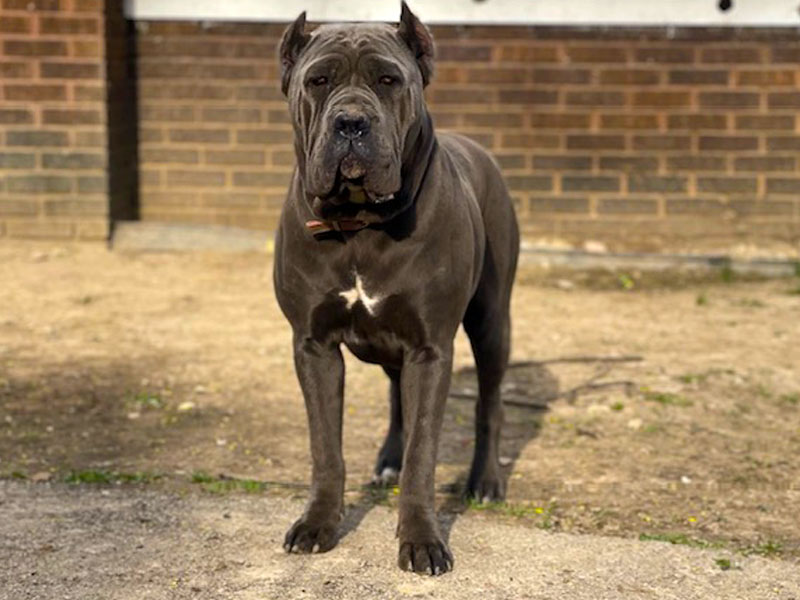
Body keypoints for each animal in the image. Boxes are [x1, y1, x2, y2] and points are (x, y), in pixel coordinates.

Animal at [274, 2, 520, 576]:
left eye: (388, 81)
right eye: (318, 81)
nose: (351, 122)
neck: (360, 227)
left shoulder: (431, 348)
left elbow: (423, 454)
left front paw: (423, 539)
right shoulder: (313, 346)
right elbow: (326, 447)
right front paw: (318, 523)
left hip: (492, 322)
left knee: (489, 403)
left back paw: (485, 480)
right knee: (394, 397)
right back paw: (387, 458)